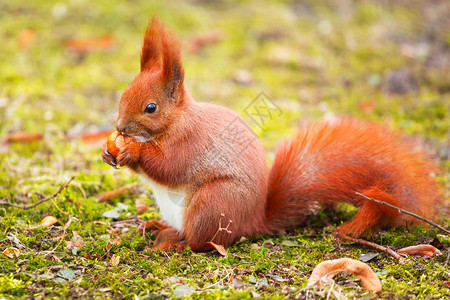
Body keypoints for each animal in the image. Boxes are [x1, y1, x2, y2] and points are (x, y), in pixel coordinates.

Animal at [102, 16, 442, 251]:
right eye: (123, 95)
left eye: (151, 108)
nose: (120, 128)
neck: (176, 121)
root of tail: (253, 221)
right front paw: (109, 152)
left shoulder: (191, 143)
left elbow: (170, 166)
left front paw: (133, 151)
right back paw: (158, 227)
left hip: (213, 204)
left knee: (204, 242)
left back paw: (176, 243)